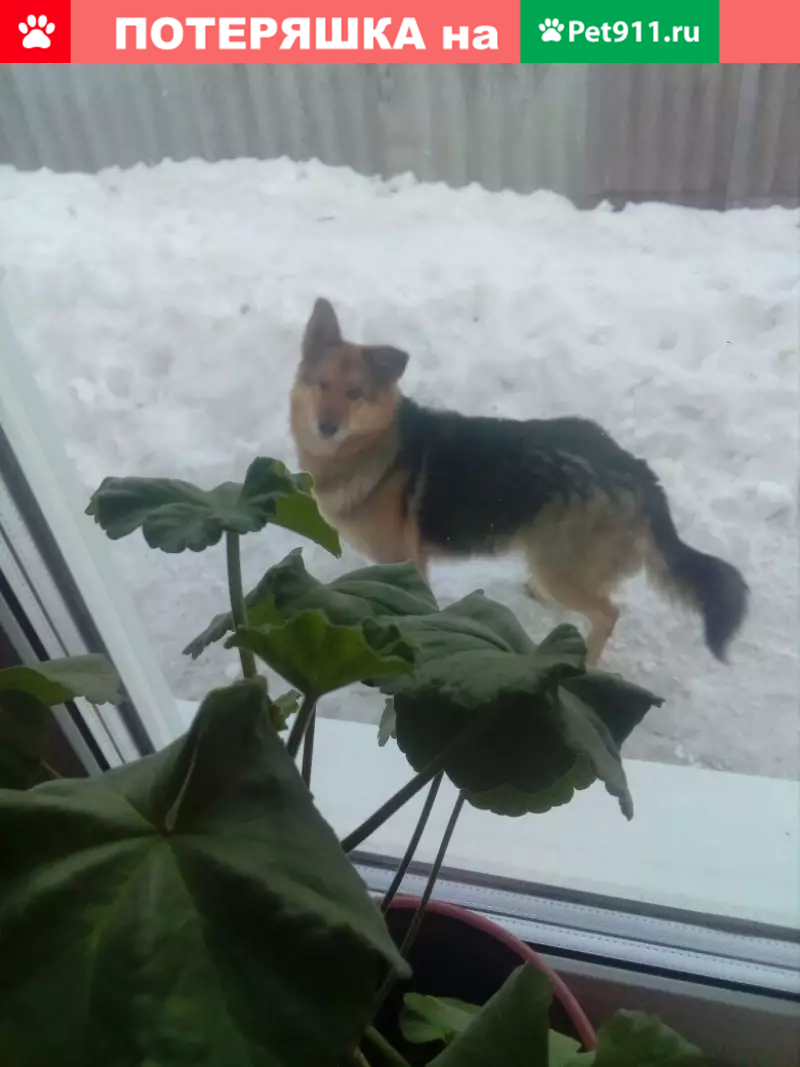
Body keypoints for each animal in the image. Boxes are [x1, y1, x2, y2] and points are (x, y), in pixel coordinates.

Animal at [290, 297, 748, 665]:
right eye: (322, 385)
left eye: (355, 393)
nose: (327, 427)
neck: (373, 447)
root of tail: (634, 468)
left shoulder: (407, 564)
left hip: (559, 568)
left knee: (609, 612)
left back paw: (585, 661)